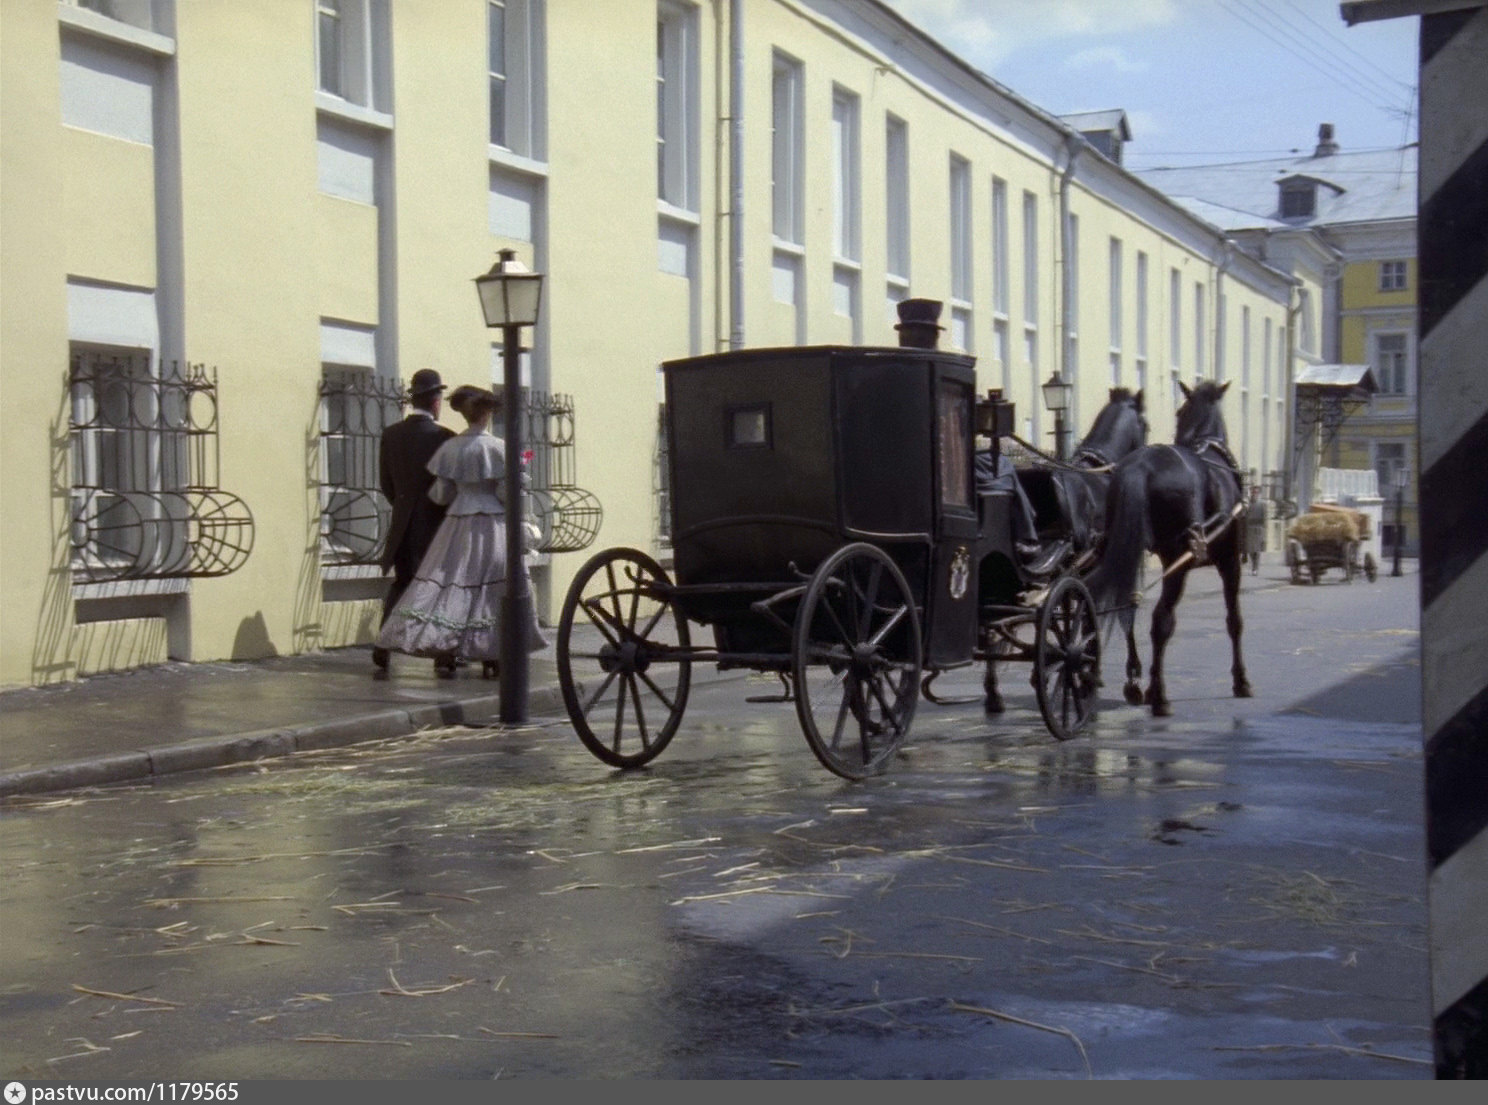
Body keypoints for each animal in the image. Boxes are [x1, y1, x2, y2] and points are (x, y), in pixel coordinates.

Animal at [1089, 380, 1249, 716]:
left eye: (1178, 411)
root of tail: (1141, 466)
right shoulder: (1231, 563)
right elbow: (1234, 621)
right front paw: (1241, 680)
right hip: (1178, 562)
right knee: (1161, 621)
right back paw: (1158, 694)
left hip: (1120, 549)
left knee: (1120, 606)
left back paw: (1129, 682)